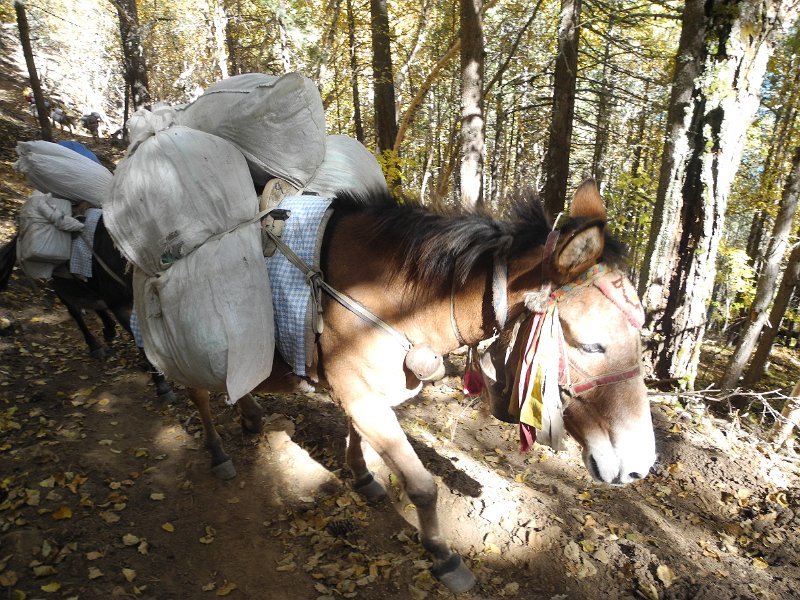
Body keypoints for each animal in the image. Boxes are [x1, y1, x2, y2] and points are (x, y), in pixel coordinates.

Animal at [0, 217, 176, 403]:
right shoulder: (120, 306)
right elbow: (141, 340)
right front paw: (162, 385)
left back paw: (109, 330)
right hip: (60, 287)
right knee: (76, 313)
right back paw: (95, 345)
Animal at [177, 179, 656, 592]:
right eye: (592, 345)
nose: (640, 466)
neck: (395, 301)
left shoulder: (366, 394)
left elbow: (360, 440)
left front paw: (363, 477)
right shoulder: (359, 393)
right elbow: (423, 486)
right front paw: (443, 555)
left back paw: (251, 415)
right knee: (196, 393)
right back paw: (218, 451)